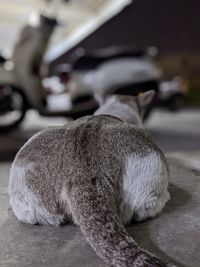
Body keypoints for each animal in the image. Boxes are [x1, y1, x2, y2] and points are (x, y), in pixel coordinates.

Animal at [8, 91, 176, 267]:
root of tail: (85, 175)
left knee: (28, 214)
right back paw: (164, 197)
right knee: (145, 208)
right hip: (153, 164)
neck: (111, 112)